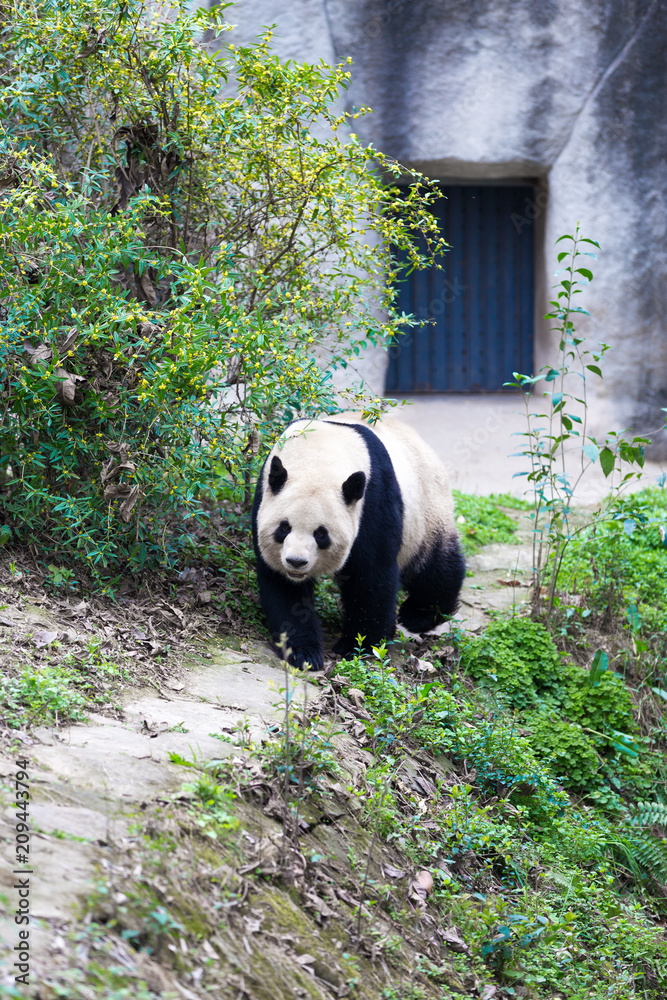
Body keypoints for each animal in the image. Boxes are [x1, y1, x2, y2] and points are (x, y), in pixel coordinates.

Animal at [253, 414, 468, 672]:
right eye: (284, 527)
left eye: (321, 534)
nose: (296, 562)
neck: (319, 455)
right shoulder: (263, 495)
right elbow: (283, 587)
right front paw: (303, 652)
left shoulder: (373, 501)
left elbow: (371, 575)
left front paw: (359, 645)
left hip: (426, 510)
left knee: (435, 567)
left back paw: (417, 615)